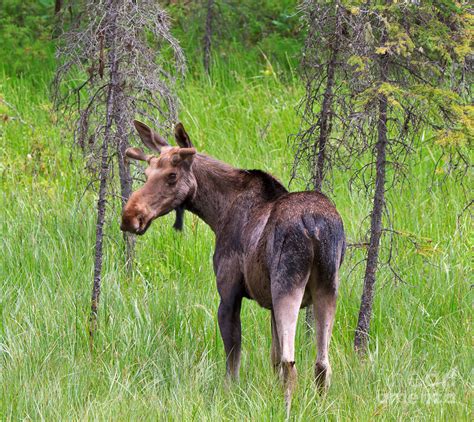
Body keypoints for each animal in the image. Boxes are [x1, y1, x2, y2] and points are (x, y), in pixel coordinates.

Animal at [120, 120, 346, 414]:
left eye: (171, 176)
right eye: (146, 173)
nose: (130, 216)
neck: (217, 212)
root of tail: (314, 226)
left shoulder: (229, 294)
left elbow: (233, 361)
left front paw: (229, 398)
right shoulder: (269, 303)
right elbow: (273, 359)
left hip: (288, 285)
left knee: (291, 364)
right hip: (328, 287)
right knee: (321, 364)